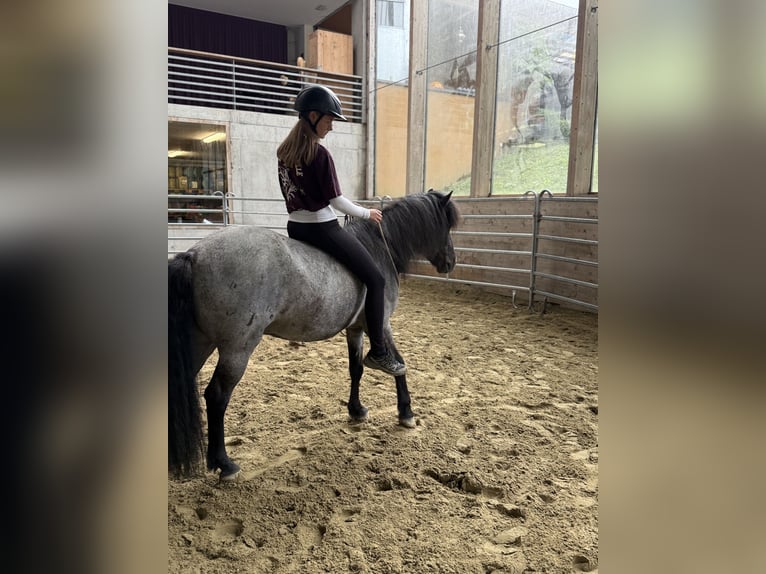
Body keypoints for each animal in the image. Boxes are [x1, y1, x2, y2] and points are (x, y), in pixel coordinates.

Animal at [169, 190, 460, 480]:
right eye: (445, 226)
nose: (451, 262)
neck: (378, 247)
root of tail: (194, 254)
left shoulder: (355, 329)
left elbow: (356, 369)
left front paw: (356, 410)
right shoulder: (380, 325)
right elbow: (400, 365)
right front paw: (406, 412)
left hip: (201, 341)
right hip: (237, 348)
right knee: (217, 396)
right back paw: (224, 463)